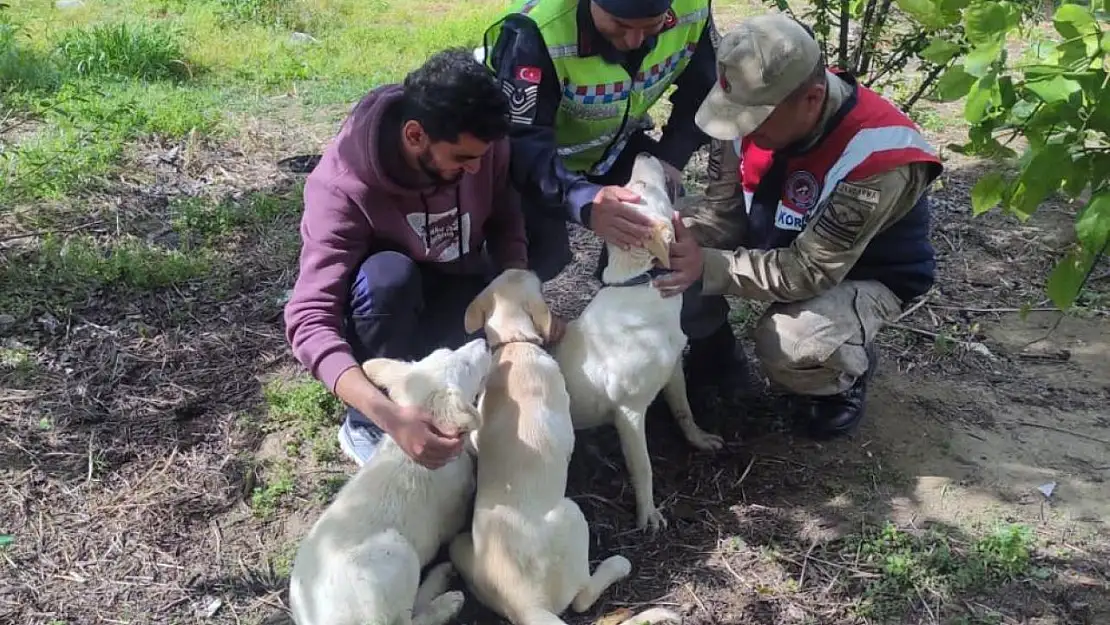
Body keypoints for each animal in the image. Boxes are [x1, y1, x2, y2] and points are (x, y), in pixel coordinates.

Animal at [288, 339, 492, 625]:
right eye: (466, 366)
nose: (483, 342)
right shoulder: (456, 505)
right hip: (397, 554)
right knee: (408, 621)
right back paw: (445, 597)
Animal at [555, 152, 728, 532]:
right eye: (641, 184)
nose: (644, 153)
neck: (640, 283)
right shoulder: (630, 413)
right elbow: (644, 468)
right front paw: (648, 513)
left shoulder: (674, 370)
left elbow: (684, 411)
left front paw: (699, 439)